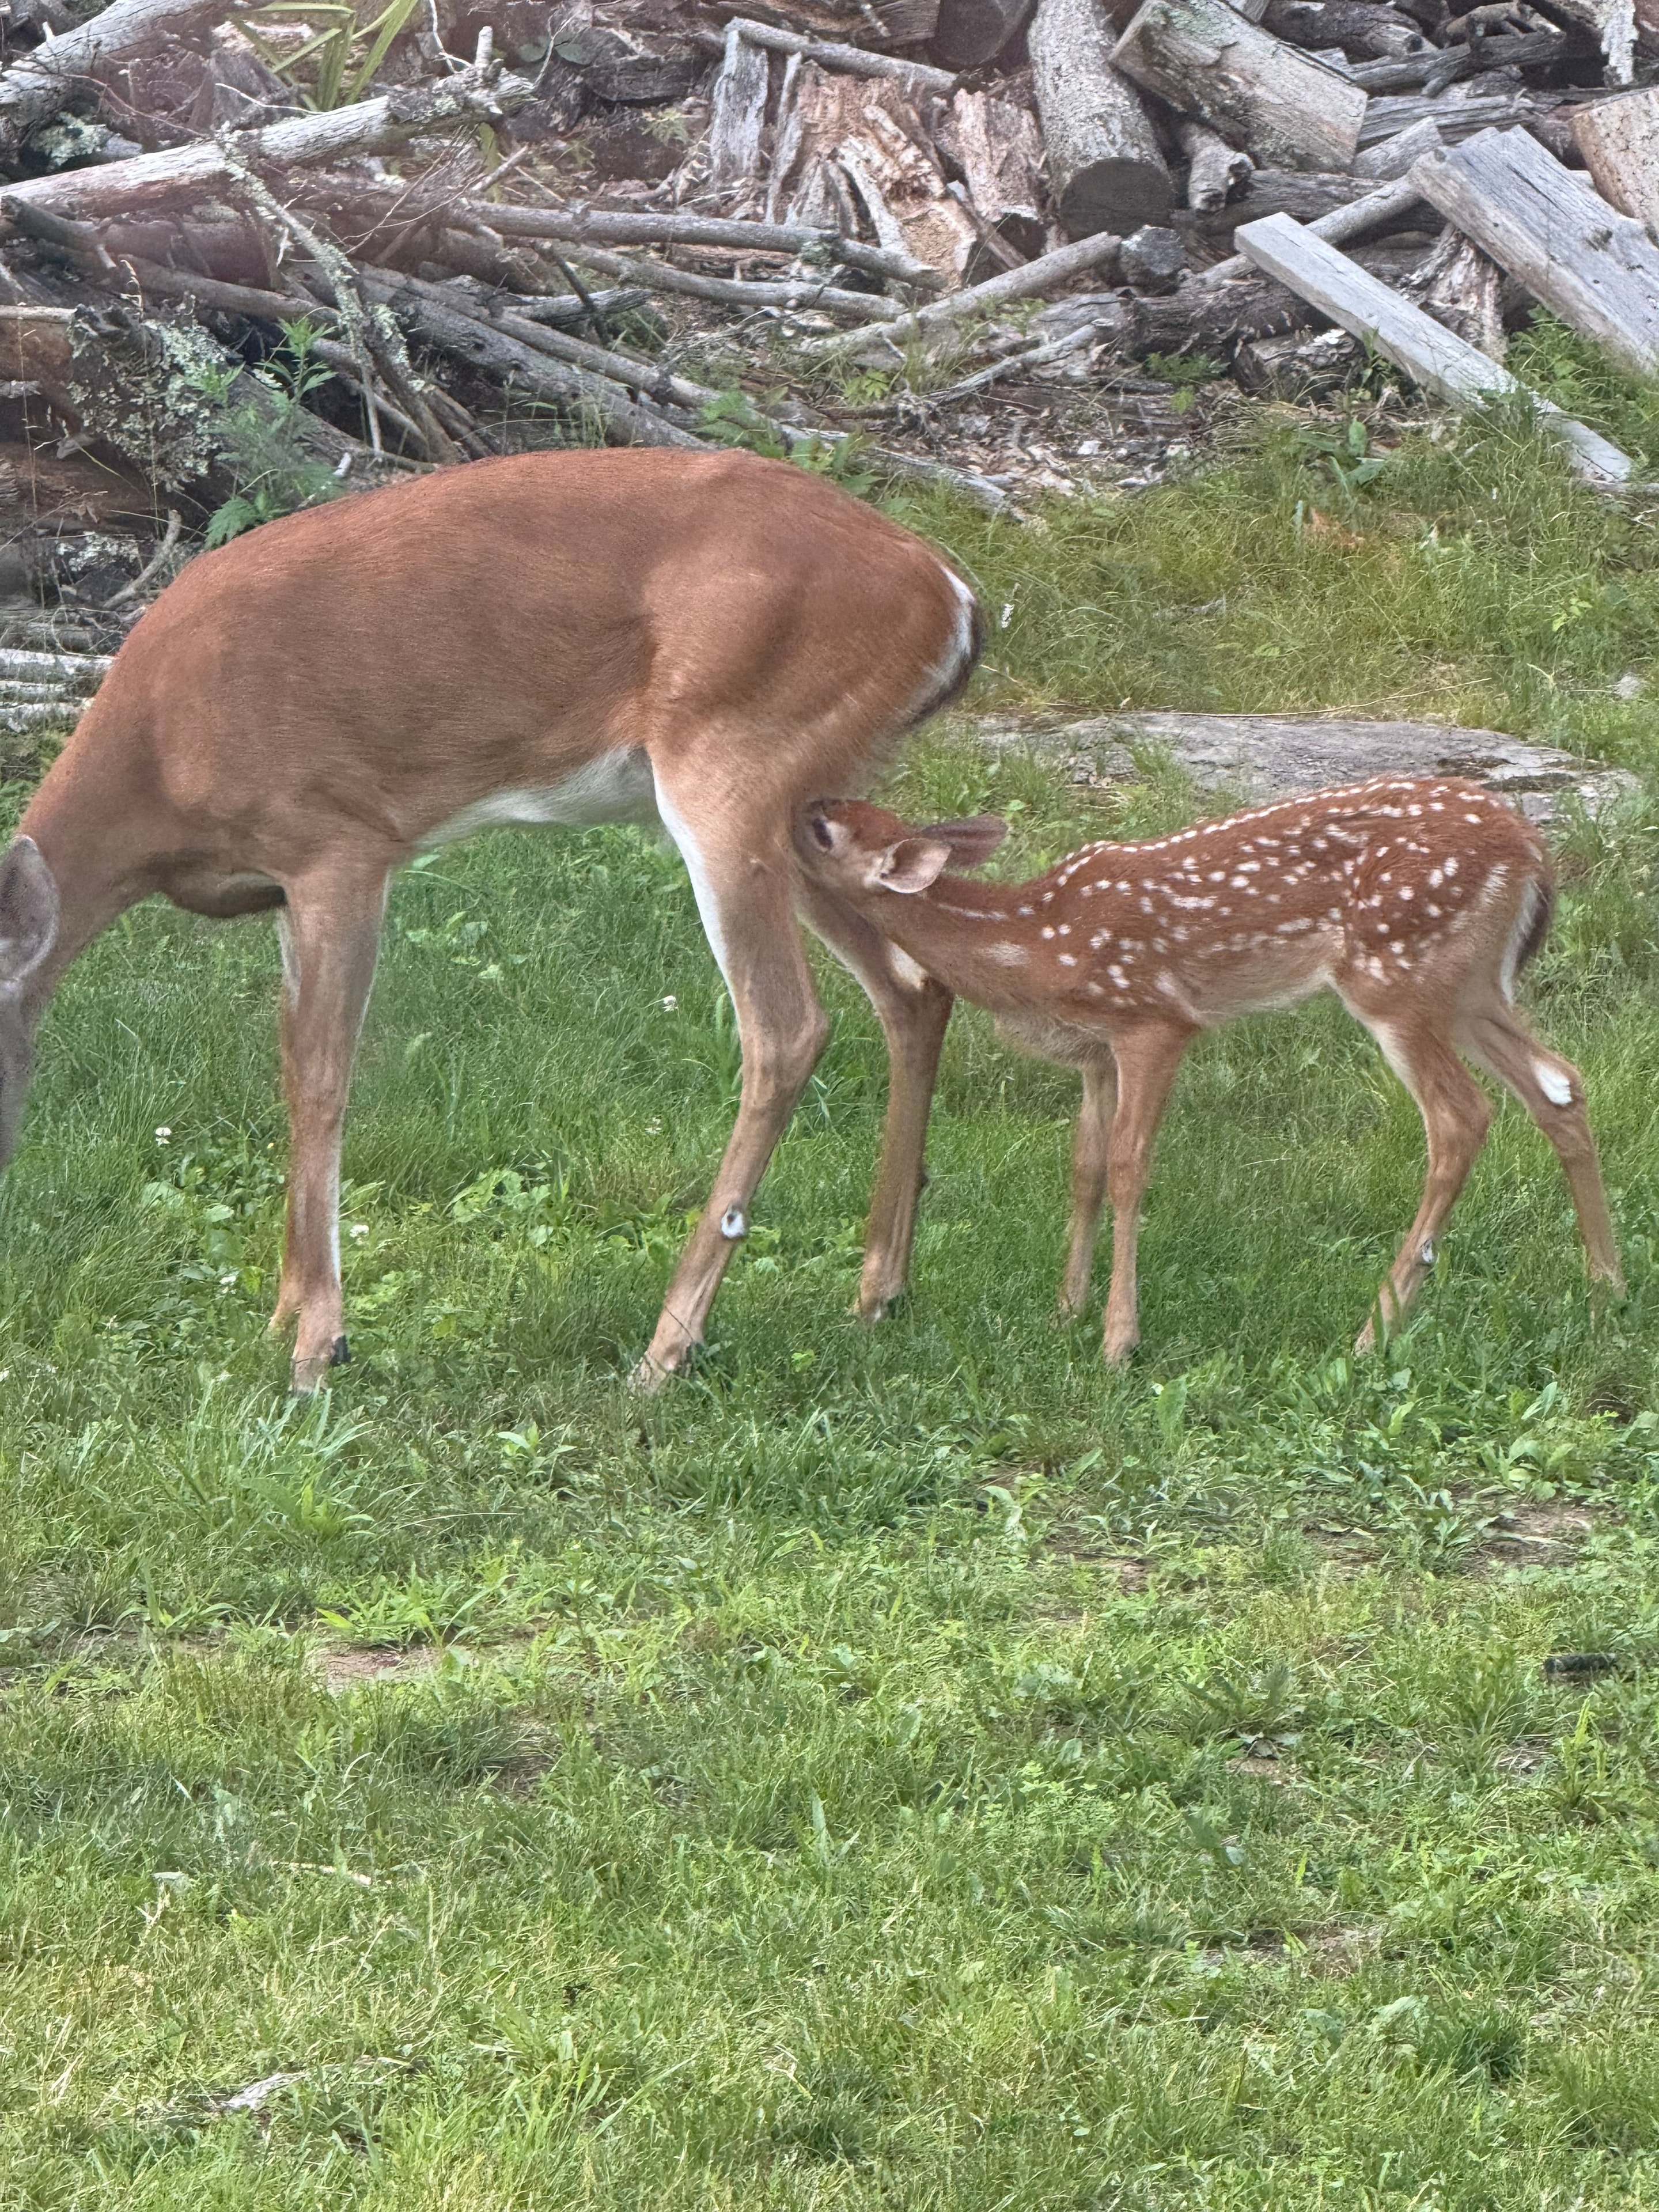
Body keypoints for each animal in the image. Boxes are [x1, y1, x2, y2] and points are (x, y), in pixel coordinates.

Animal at [0, 447, 986, 1390]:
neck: (160, 768)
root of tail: (952, 595)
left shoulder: (339, 843)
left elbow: (321, 1080)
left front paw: (318, 1348)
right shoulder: (282, 890)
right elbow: (289, 1068)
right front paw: (284, 1314)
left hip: (735, 761)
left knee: (787, 1026)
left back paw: (667, 1349)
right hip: (808, 809)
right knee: (912, 986)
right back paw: (879, 1292)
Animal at [797, 777, 1624, 1362]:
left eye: (826, 830)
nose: (801, 801)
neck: (1030, 941)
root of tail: (1533, 850)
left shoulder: (1154, 1021)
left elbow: (1129, 1165)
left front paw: (1117, 1341)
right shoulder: (1096, 1051)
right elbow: (1085, 1167)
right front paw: (1065, 1313)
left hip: (1399, 976)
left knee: (1462, 1116)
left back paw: (1372, 1332)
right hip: (1472, 986)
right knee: (1560, 1083)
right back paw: (1605, 1292)